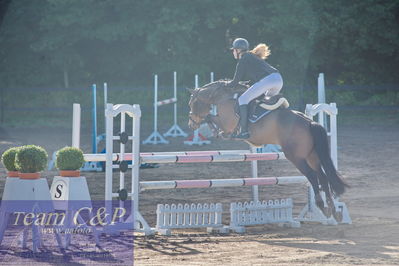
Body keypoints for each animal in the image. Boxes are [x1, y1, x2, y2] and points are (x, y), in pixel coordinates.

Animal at [189, 80, 348, 221]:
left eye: (192, 104)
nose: (191, 125)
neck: (223, 97)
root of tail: (310, 122)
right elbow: (210, 117)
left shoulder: (226, 123)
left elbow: (210, 118)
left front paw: (216, 132)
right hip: (312, 156)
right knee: (323, 177)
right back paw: (334, 211)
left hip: (296, 157)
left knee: (312, 176)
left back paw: (322, 207)